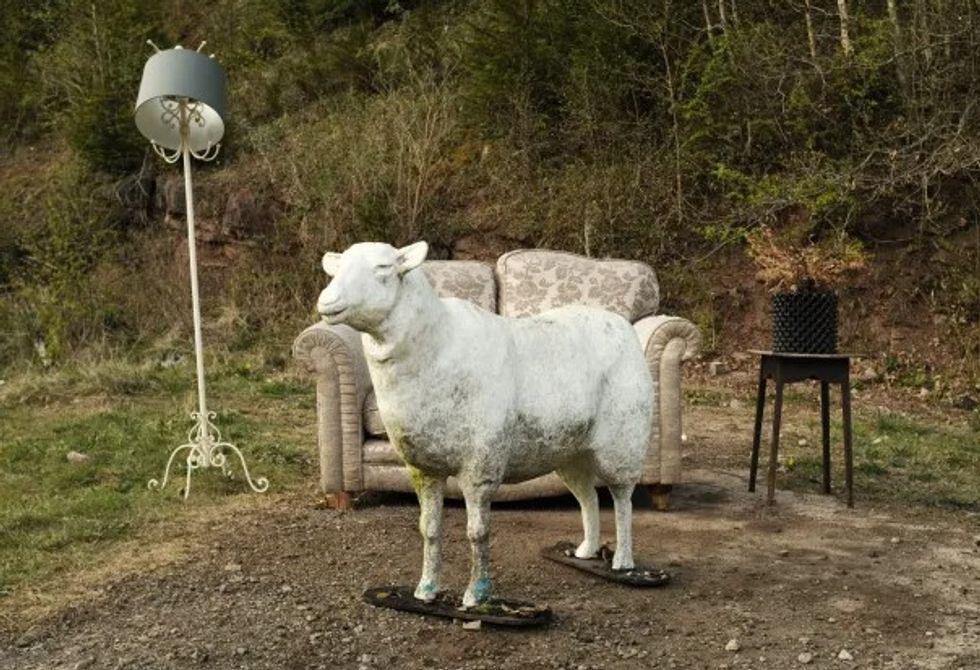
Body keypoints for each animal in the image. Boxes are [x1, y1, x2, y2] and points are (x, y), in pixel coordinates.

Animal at [317, 241, 653, 608]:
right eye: (338, 268)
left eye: (383, 268)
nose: (326, 301)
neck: (435, 344)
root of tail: (621, 325)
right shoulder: (423, 468)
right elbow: (428, 530)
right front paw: (425, 590)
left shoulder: (480, 467)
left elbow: (477, 532)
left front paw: (476, 595)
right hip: (569, 452)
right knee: (588, 497)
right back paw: (586, 551)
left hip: (622, 445)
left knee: (622, 500)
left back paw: (623, 561)